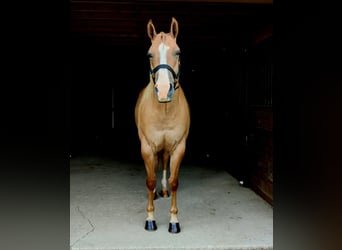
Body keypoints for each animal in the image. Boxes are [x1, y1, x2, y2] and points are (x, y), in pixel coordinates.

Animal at [135, 17, 191, 232]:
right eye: (150, 54)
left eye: (178, 52)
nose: (164, 90)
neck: (164, 110)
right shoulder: (147, 147)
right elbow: (150, 181)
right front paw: (150, 219)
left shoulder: (178, 147)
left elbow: (174, 181)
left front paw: (174, 221)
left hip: (167, 148)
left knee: (165, 164)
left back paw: (164, 191)